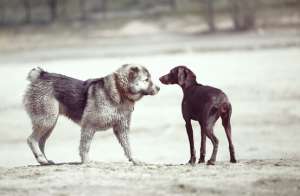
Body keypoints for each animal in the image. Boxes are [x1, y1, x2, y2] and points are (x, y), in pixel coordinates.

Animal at [24, 64, 159, 165]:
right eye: (146, 80)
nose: (158, 88)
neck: (119, 91)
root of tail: (41, 74)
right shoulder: (89, 125)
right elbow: (85, 146)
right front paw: (86, 161)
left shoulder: (121, 129)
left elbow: (128, 147)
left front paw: (134, 160)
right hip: (47, 120)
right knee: (31, 139)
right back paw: (41, 158)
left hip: (50, 122)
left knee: (40, 141)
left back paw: (44, 160)